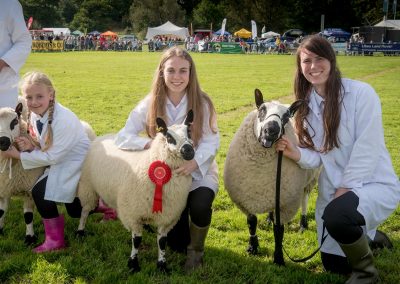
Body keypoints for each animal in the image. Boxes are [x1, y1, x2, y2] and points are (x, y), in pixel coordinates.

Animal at [76, 110, 195, 272]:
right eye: (169, 137)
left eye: (189, 132)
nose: (188, 150)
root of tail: (98, 138)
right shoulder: (133, 213)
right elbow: (137, 240)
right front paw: (133, 263)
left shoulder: (168, 216)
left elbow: (162, 241)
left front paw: (162, 264)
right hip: (88, 188)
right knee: (85, 211)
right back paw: (80, 231)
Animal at [222, 90, 318, 262]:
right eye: (262, 109)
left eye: (286, 116)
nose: (271, 130)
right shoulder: (247, 198)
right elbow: (251, 222)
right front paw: (253, 247)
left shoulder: (285, 203)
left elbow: (278, 229)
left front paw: (278, 257)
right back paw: (268, 219)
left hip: (310, 179)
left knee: (304, 199)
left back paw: (303, 224)